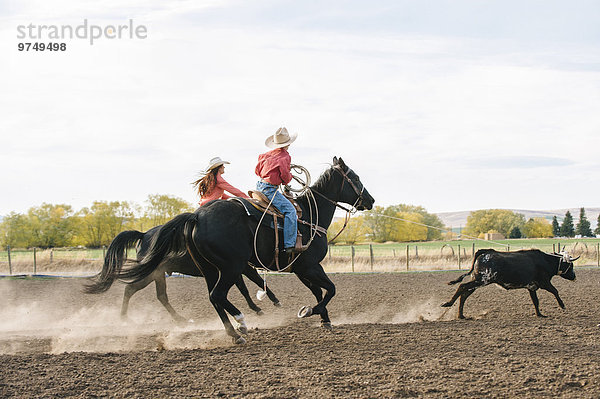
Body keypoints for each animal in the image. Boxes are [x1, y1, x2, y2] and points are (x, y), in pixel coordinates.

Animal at [85, 227, 282, 324]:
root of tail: (144, 234)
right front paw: (271, 302)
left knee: (160, 296)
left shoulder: (234, 270)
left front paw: (256, 307)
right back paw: (124, 317)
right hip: (150, 275)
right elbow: (254, 282)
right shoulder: (239, 267)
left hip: (158, 275)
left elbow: (244, 289)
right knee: (131, 289)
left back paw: (179, 319)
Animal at [114, 158, 372, 346]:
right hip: (226, 267)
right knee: (211, 295)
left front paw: (325, 320)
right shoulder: (310, 266)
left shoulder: (300, 269)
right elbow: (330, 289)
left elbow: (319, 291)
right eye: (356, 178)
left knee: (210, 298)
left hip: (210, 270)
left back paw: (234, 330)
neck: (309, 215)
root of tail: (196, 217)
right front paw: (310, 311)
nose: (370, 200)